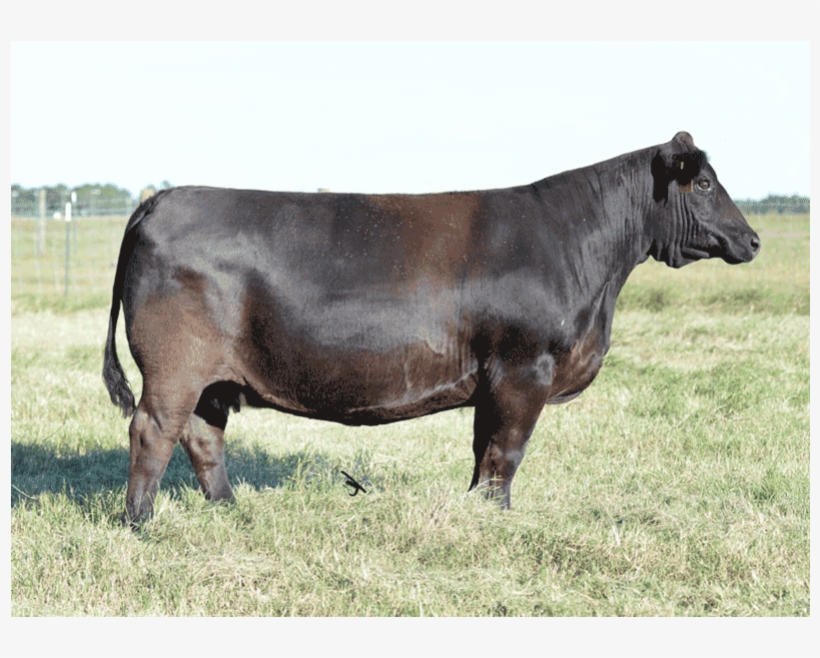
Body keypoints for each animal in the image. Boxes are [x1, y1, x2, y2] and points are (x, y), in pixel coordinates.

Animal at [103, 131, 760, 524]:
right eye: (704, 183)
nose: (752, 239)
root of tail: (161, 198)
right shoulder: (526, 369)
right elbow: (507, 450)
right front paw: (499, 520)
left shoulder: (493, 379)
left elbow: (483, 450)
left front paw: (477, 513)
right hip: (175, 366)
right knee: (153, 430)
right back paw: (140, 523)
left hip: (213, 377)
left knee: (203, 436)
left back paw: (230, 510)